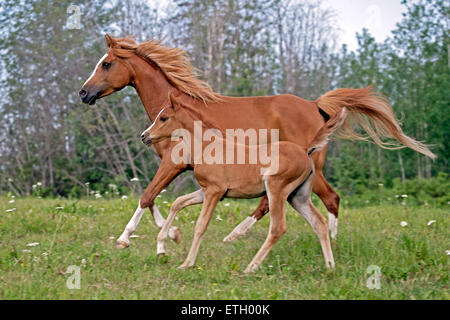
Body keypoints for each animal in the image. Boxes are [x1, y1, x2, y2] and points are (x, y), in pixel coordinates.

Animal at [142, 95, 346, 272]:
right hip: (298, 197)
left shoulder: (214, 191)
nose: (144, 136)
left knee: (278, 227)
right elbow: (178, 203)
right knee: (319, 222)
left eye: (163, 118)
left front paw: (187, 263)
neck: (207, 147)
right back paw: (330, 266)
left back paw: (250, 267)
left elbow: (200, 225)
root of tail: (304, 150)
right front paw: (163, 244)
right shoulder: (206, 190)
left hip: (276, 189)